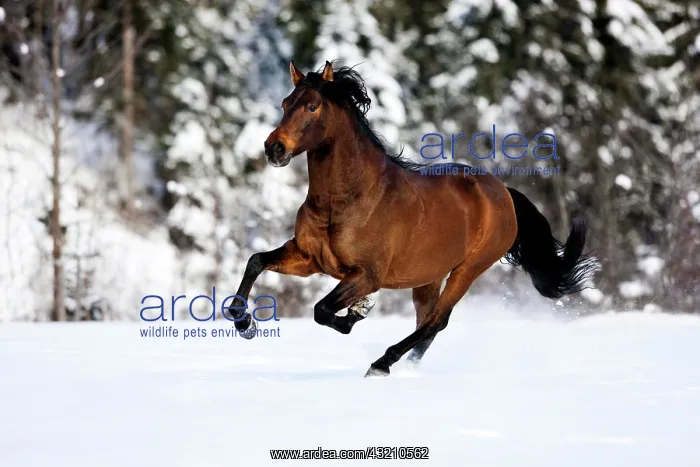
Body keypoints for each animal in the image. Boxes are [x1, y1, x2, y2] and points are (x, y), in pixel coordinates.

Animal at [228, 60, 598, 377]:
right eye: (285, 103)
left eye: (312, 106)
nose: (274, 149)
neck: (345, 200)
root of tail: (502, 192)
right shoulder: (308, 259)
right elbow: (255, 261)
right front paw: (244, 324)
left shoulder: (368, 275)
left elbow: (321, 310)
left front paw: (357, 312)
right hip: (428, 276)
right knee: (428, 324)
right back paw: (404, 365)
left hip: (468, 269)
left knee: (435, 321)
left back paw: (382, 365)